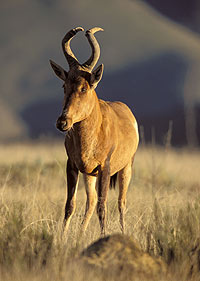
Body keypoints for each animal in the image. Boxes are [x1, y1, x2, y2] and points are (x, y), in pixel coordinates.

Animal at [49, 26, 138, 234]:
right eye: (64, 85)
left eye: (84, 87)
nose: (63, 122)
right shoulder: (72, 166)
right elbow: (70, 206)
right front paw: (62, 237)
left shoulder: (105, 168)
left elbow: (102, 206)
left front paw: (104, 236)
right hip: (89, 175)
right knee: (89, 203)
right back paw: (81, 234)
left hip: (125, 168)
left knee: (121, 202)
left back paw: (123, 231)